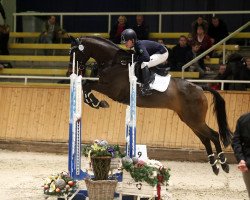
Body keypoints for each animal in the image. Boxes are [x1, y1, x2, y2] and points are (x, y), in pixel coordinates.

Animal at [68, 36, 232, 175]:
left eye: (74, 52)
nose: (70, 70)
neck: (113, 62)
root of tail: (200, 88)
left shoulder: (111, 89)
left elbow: (87, 84)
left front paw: (97, 102)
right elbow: (86, 85)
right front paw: (95, 102)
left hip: (195, 120)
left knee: (214, 135)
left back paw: (224, 164)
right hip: (190, 120)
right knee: (205, 139)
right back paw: (214, 166)